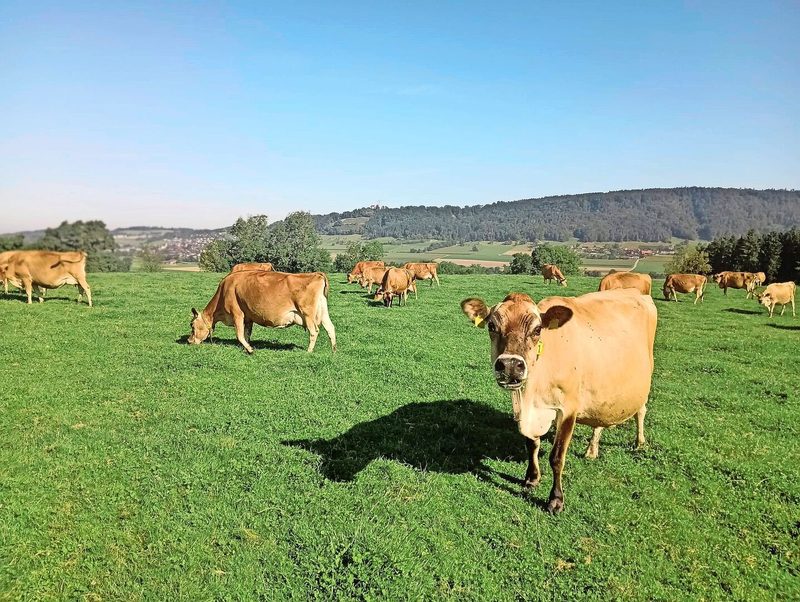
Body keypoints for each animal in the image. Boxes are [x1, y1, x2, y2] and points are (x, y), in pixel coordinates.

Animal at [188, 271, 336, 354]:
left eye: (192, 325)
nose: (189, 341)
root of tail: (316, 274)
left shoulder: (237, 314)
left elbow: (239, 335)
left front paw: (249, 350)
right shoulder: (248, 317)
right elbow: (246, 334)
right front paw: (246, 347)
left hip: (307, 313)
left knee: (314, 331)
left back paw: (309, 351)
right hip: (323, 311)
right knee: (330, 328)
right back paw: (334, 350)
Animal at [461, 288, 657, 514]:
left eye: (537, 329)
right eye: (492, 326)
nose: (510, 365)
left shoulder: (568, 410)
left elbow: (556, 457)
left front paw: (555, 500)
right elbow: (532, 444)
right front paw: (532, 478)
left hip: (644, 383)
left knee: (641, 411)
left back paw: (639, 442)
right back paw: (592, 450)